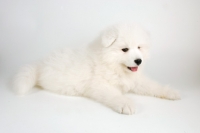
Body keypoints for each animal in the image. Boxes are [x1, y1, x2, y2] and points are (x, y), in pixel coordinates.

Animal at [13, 22, 180, 114]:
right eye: (125, 49)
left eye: (139, 47)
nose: (138, 61)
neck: (111, 64)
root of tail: (40, 63)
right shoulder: (99, 85)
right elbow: (114, 95)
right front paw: (126, 104)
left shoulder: (136, 80)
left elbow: (153, 85)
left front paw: (170, 92)